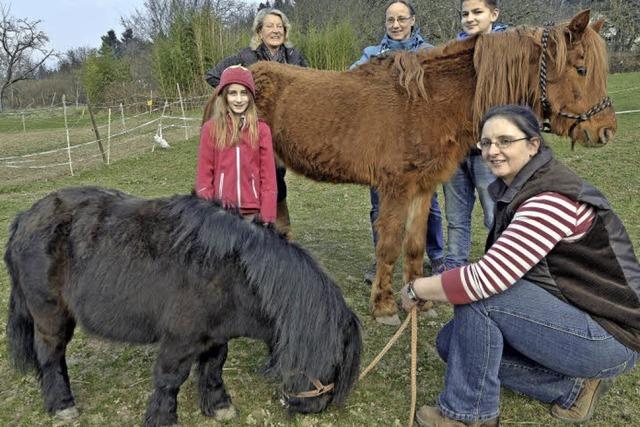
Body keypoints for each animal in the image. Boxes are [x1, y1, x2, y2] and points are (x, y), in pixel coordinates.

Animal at [5, 188, 362, 427]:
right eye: (334, 360)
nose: (315, 408)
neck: (232, 272)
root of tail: (25, 218)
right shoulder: (180, 339)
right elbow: (170, 378)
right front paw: (162, 417)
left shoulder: (216, 336)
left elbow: (214, 367)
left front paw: (218, 406)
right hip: (50, 314)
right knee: (51, 355)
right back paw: (62, 404)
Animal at [204, 10, 616, 324]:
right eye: (581, 69)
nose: (605, 130)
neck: (426, 101)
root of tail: (236, 77)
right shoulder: (396, 188)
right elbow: (388, 246)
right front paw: (384, 307)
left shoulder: (422, 187)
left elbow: (415, 246)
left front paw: (420, 301)